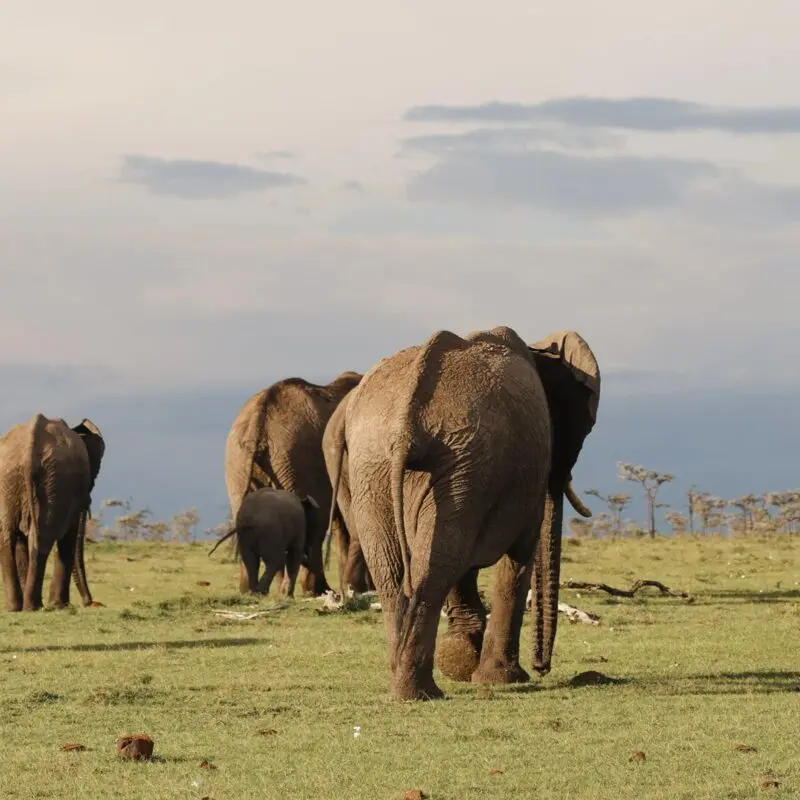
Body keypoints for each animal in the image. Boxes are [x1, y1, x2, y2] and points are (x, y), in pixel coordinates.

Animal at [0, 414, 106, 612]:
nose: (91, 602)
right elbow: (69, 536)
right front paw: (60, 606)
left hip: (14, 481)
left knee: (8, 537)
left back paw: (16, 608)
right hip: (53, 483)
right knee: (41, 538)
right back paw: (32, 607)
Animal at [223, 371, 365, 596]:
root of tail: (259, 420)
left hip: (237, 460)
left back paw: (250, 591)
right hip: (297, 459)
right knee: (311, 523)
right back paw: (315, 590)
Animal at [324, 326, 599, 700]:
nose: (543, 668)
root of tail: (407, 422)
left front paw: (461, 662)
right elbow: (518, 557)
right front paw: (502, 678)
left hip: (383, 463)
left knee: (399, 569)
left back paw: (404, 687)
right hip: (457, 457)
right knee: (436, 566)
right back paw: (421, 692)